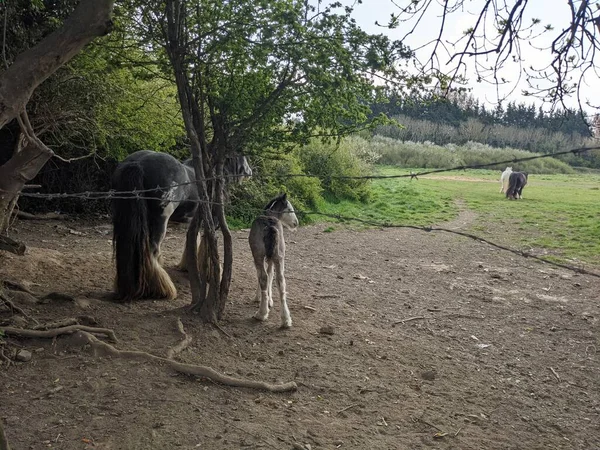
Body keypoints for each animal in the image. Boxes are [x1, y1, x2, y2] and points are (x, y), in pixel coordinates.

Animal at [111, 149, 252, 300]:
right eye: (242, 154)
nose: (249, 172)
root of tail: (137, 162)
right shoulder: (212, 221)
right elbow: (207, 244)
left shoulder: (193, 221)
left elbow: (192, 239)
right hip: (160, 221)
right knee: (152, 249)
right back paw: (162, 290)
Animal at [248, 192, 298, 326]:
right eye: (289, 209)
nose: (296, 223)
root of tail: (270, 225)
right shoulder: (272, 258)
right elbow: (271, 274)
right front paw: (270, 300)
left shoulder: (260, 257)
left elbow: (263, 276)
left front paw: (258, 297)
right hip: (279, 257)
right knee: (281, 281)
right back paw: (286, 319)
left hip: (258, 255)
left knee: (263, 277)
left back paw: (261, 313)